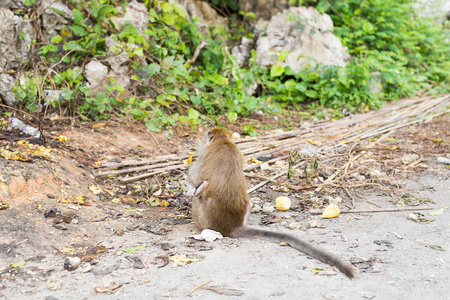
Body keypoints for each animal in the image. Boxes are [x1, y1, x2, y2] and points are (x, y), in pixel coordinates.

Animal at [186, 127, 356, 278]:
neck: (223, 141)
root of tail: (232, 226)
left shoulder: (204, 154)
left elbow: (194, 177)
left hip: (203, 219)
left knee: (197, 197)